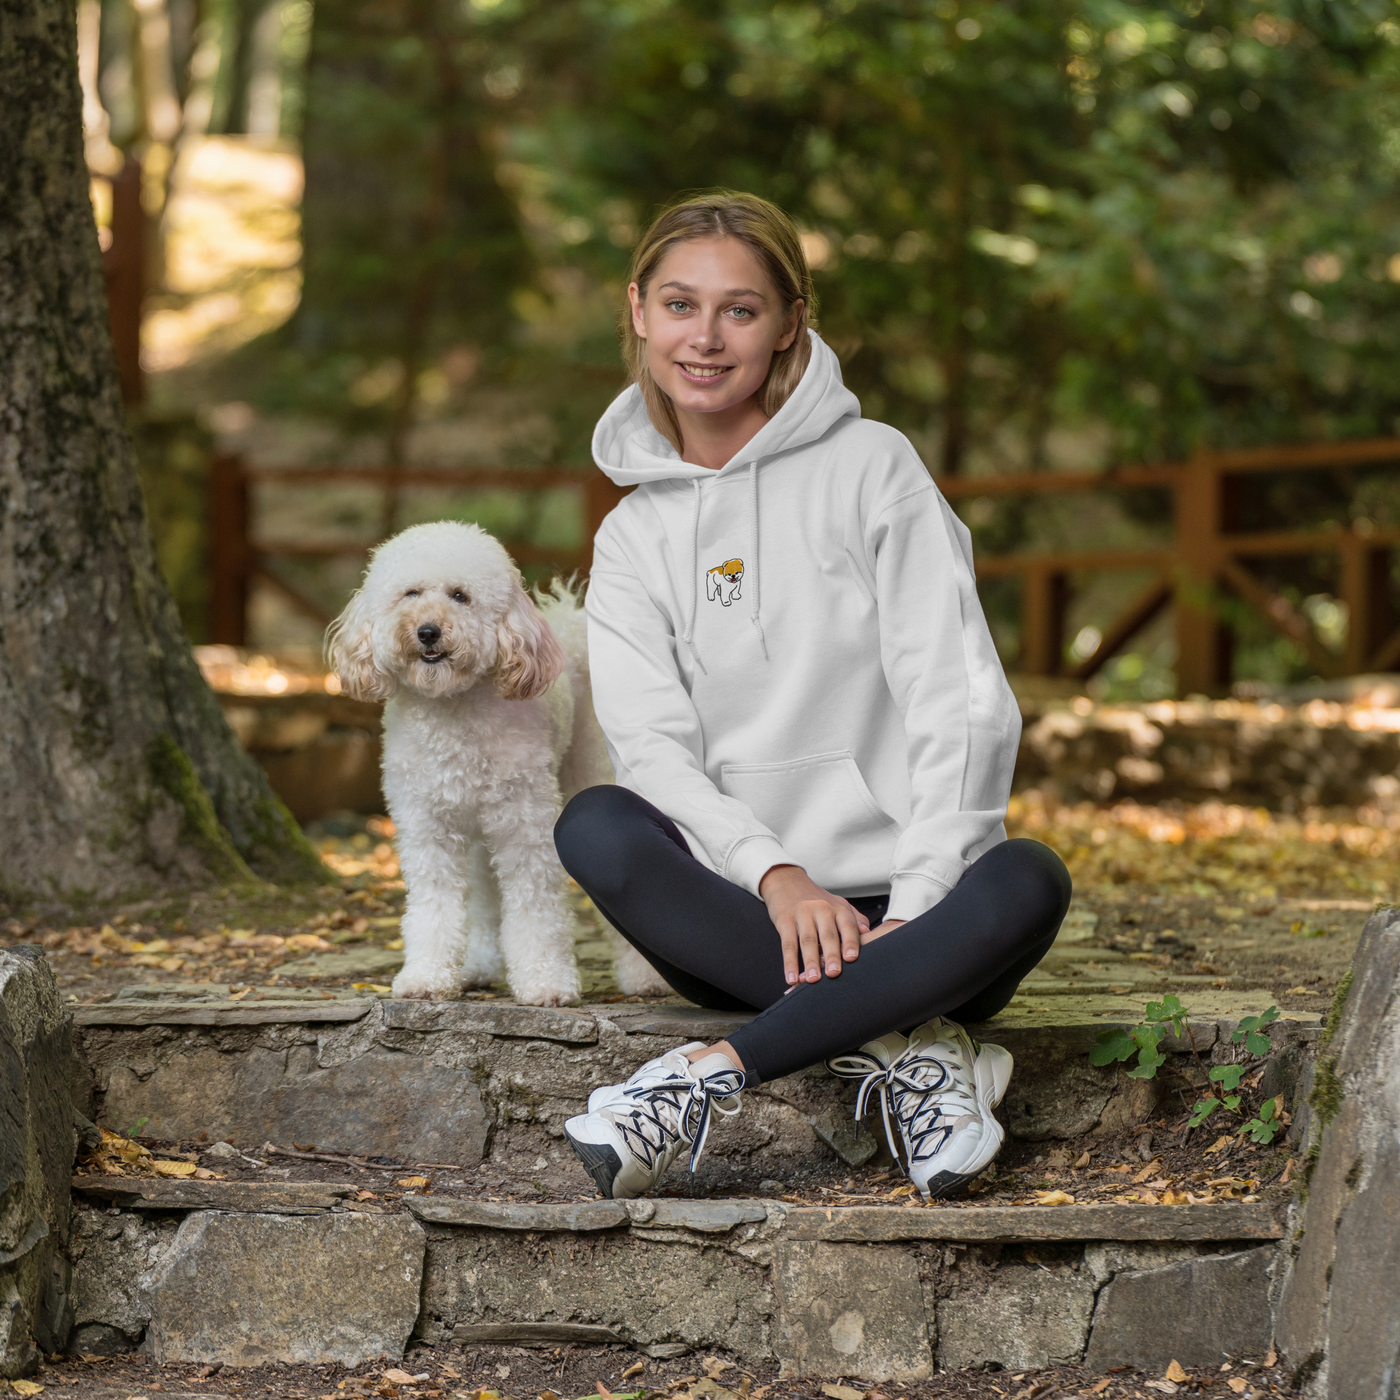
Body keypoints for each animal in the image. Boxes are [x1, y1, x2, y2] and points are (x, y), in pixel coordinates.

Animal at [327, 518, 672, 1008]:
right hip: (476, 835)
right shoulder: (428, 829)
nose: (428, 631)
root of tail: (568, 620)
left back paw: (643, 977)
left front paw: (545, 981)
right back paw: (480, 966)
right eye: (411, 593)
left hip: (585, 769)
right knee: (485, 899)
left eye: (460, 595)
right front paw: (427, 977)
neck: (453, 711)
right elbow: (434, 907)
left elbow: (535, 907)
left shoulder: (525, 827)